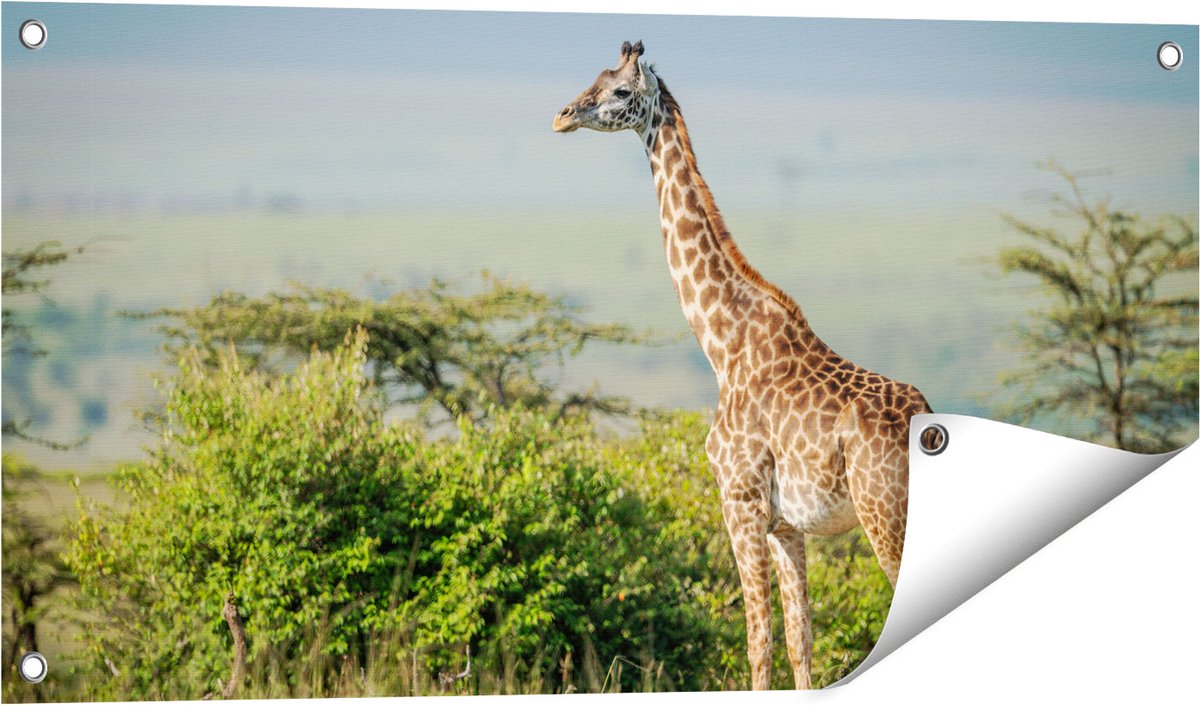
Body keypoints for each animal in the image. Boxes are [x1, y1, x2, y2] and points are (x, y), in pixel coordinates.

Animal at [553, 41, 936, 690]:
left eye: (620, 91)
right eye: (595, 78)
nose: (561, 116)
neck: (722, 344)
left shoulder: (740, 501)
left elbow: (758, 643)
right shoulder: (786, 525)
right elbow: (799, 642)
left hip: (885, 512)